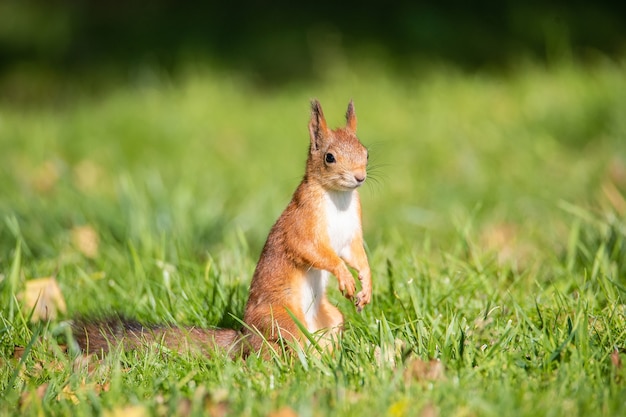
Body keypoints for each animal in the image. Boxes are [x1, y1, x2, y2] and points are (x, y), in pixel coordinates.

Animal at [75, 101, 372, 358]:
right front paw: (344, 276)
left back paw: (329, 359)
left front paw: (365, 285)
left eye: (366, 152)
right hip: (281, 319)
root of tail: (244, 336)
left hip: (330, 319)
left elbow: (356, 255)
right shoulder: (301, 223)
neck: (338, 198)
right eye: (329, 157)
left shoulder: (350, 234)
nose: (359, 177)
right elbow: (311, 249)